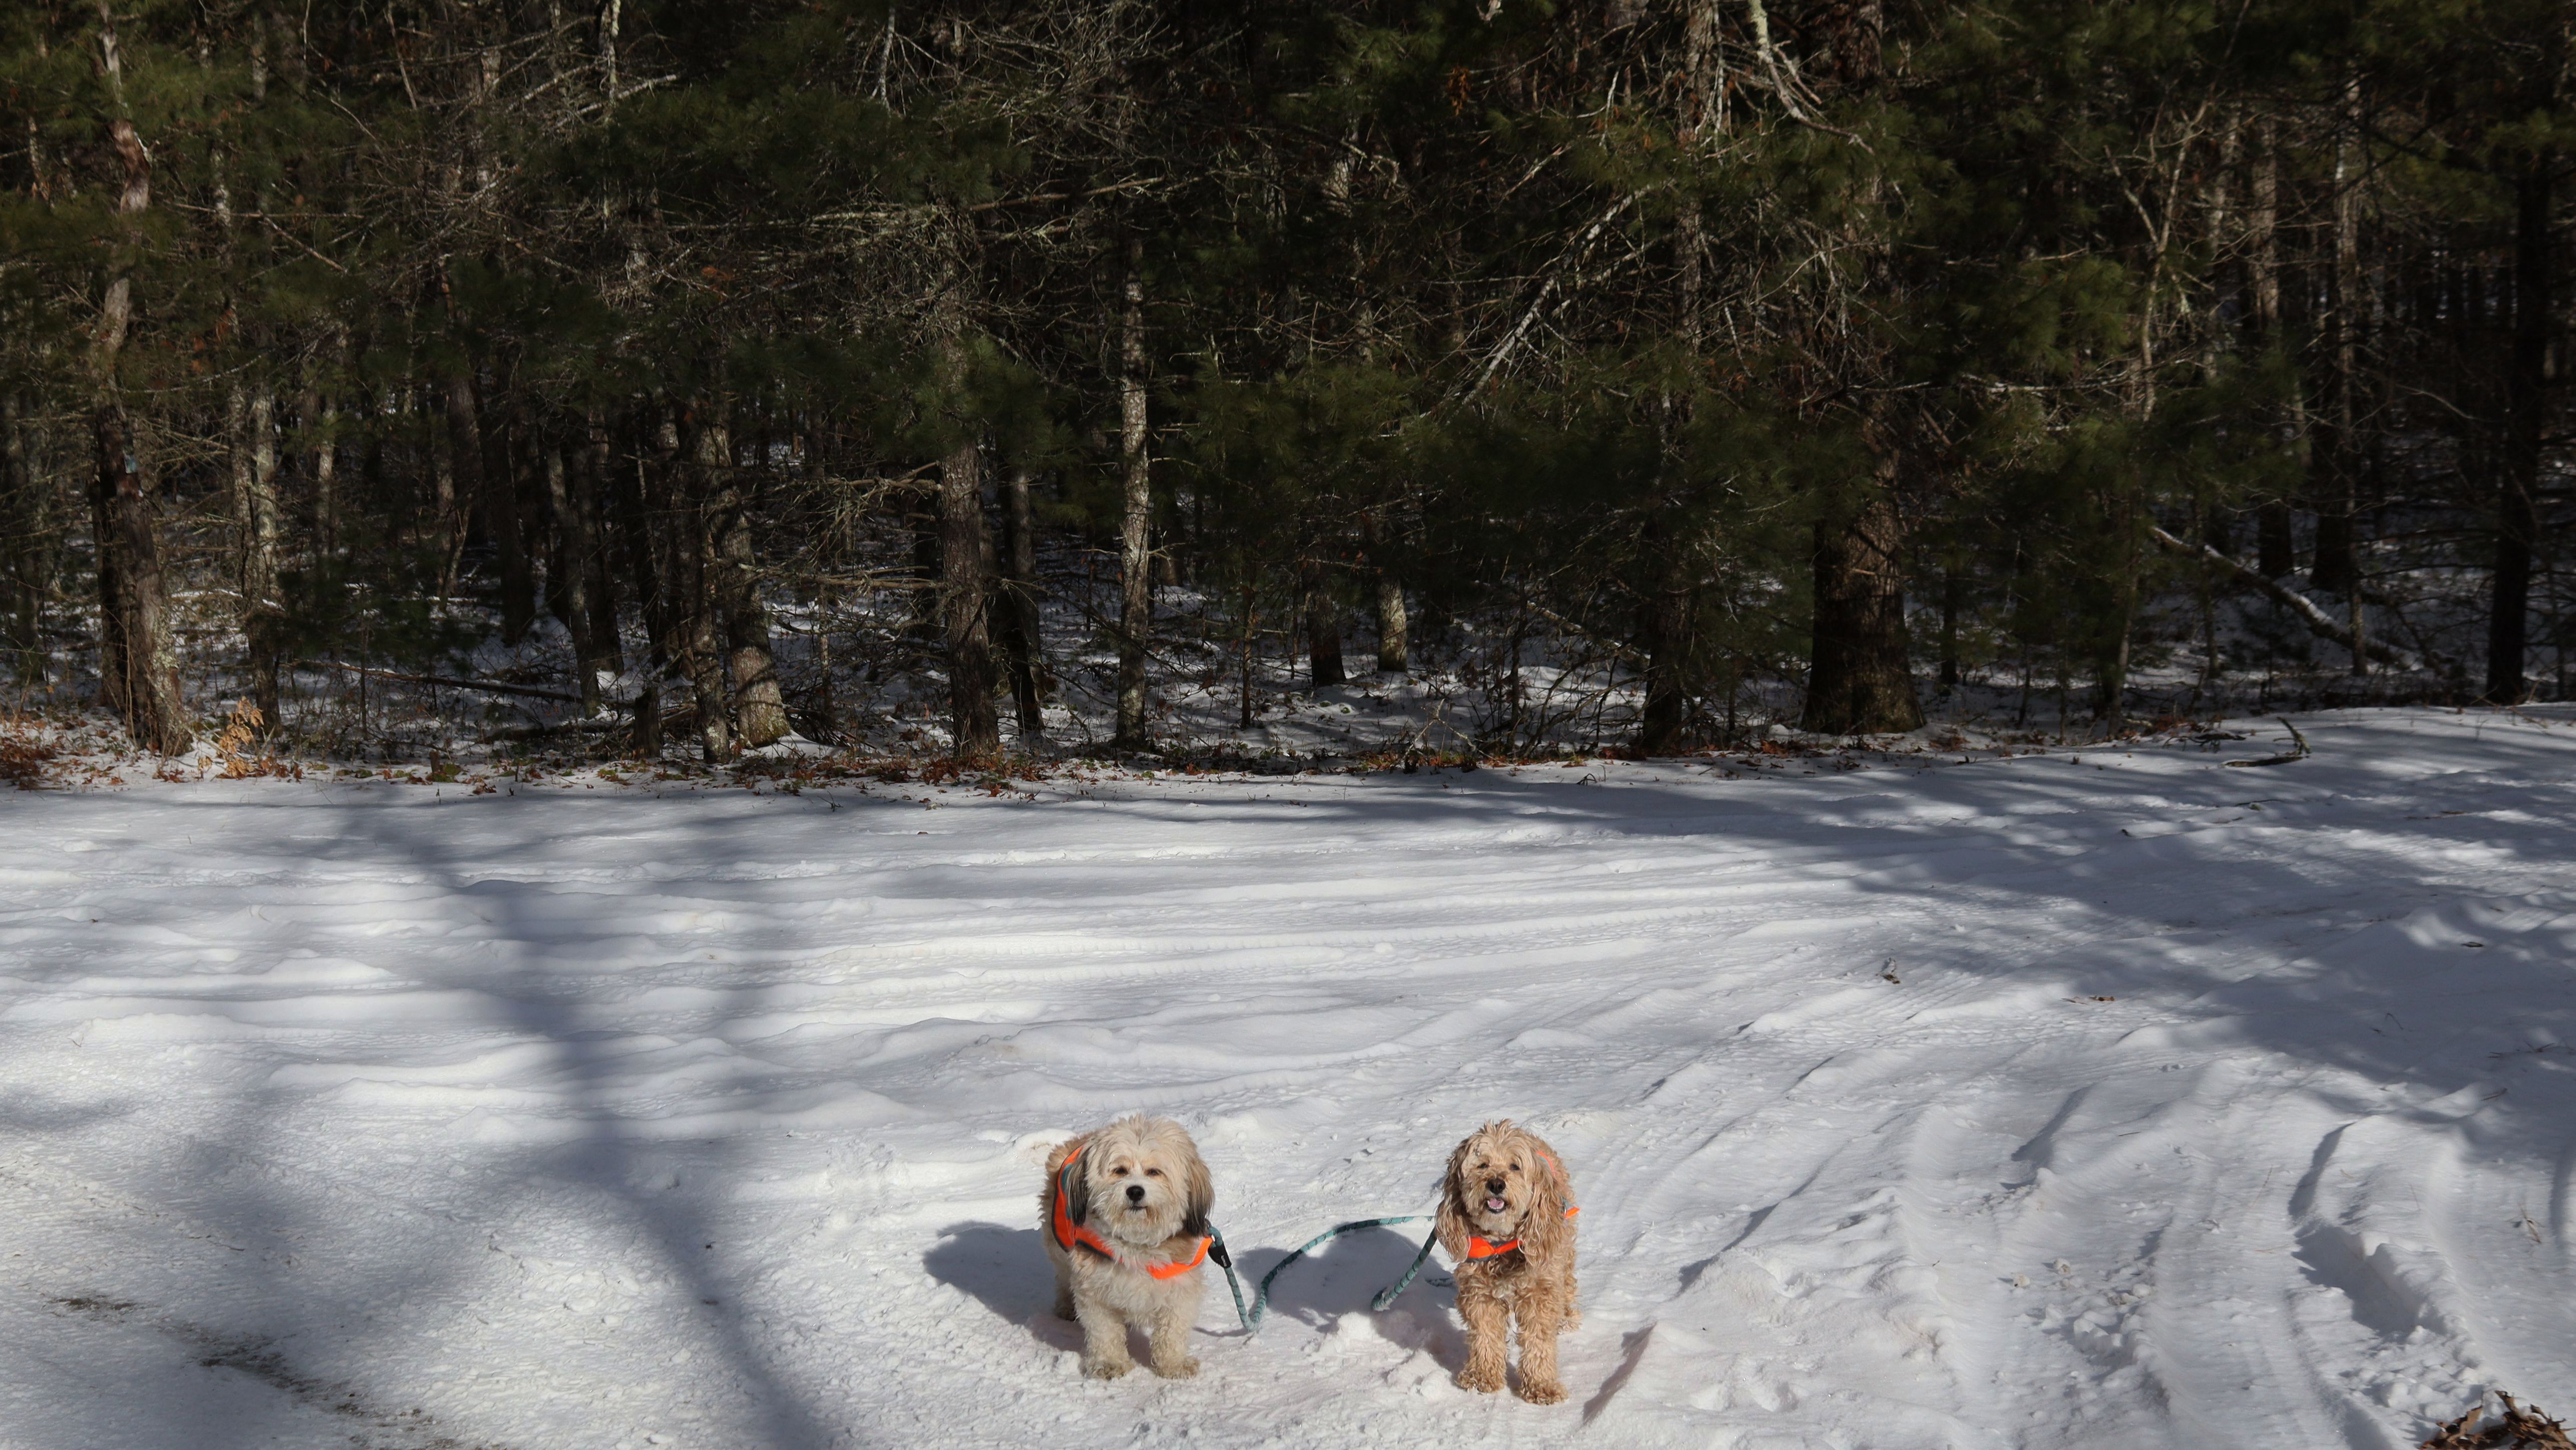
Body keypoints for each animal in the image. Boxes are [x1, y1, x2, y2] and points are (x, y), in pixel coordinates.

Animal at [1041, 1115, 1215, 1380]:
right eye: (1120, 1170)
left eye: (1154, 1172)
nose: (1135, 1191)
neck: (1137, 1243)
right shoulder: (1095, 1289)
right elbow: (1105, 1332)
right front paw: (1110, 1363)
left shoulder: (1180, 1286)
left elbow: (1173, 1330)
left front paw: (1174, 1364)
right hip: (1059, 1246)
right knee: (1062, 1277)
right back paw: (1066, 1307)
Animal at [1435, 1119, 1578, 1403]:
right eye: (1482, 1164)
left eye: (1515, 1166)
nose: (1497, 1184)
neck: (1501, 1242)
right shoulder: (1480, 1292)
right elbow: (1485, 1335)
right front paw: (1482, 1377)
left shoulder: (1540, 1291)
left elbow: (1538, 1340)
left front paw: (1542, 1386)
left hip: (1563, 1250)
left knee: (1567, 1283)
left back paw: (1567, 1319)